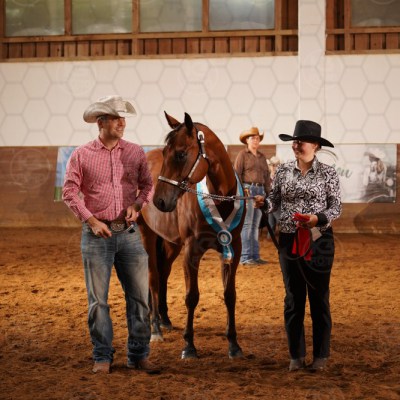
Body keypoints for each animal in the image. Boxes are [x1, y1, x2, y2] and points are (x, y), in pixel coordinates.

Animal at [138, 112, 246, 359]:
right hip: (148, 235)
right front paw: (189, 346)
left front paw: (234, 344)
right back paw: (155, 327)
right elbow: (191, 296)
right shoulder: (191, 251)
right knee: (153, 277)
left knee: (163, 273)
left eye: (180, 154)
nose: (159, 201)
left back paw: (165, 319)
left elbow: (230, 295)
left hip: (171, 243)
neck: (220, 199)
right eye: (166, 153)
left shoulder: (233, 248)